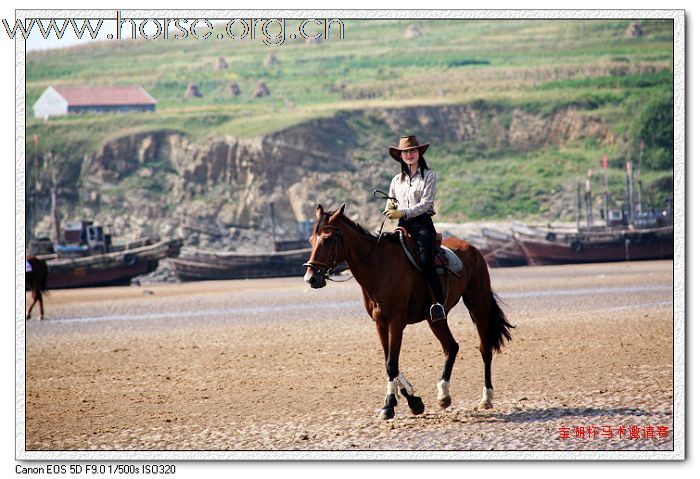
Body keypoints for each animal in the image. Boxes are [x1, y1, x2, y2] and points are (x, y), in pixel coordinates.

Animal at [302, 205, 516, 420]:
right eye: (311, 240)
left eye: (328, 239)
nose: (311, 278)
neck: (379, 267)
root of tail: (473, 249)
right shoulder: (380, 324)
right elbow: (390, 363)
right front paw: (413, 401)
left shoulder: (397, 322)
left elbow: (391, 364)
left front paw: (390, 405)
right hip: (435, 318)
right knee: (451, 347)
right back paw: (444, 395)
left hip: (478, 304)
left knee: (484, 348)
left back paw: (486, 398)